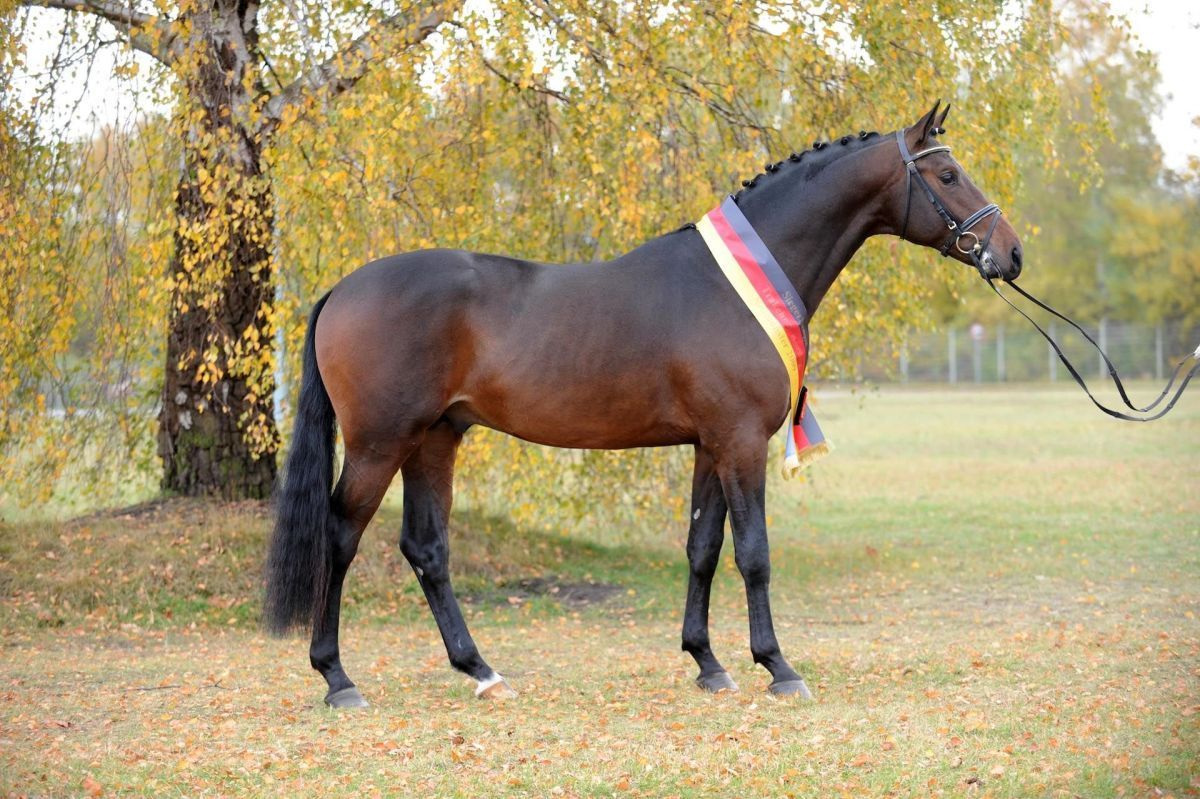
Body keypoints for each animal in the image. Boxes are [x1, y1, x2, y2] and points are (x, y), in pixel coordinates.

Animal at [264, 100, 1024, 708]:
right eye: (948, 175)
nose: (1010, 254)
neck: (734, 285)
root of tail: (341, 289)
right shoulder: (741, 442)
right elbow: (753, 552)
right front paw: (777, 666)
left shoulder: (711, 444)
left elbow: (702, 548)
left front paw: (709, 663)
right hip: (380, 442)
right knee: (342, 534)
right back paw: (337, 678)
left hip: (435, 438)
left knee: (426, 547)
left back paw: (481, 670)